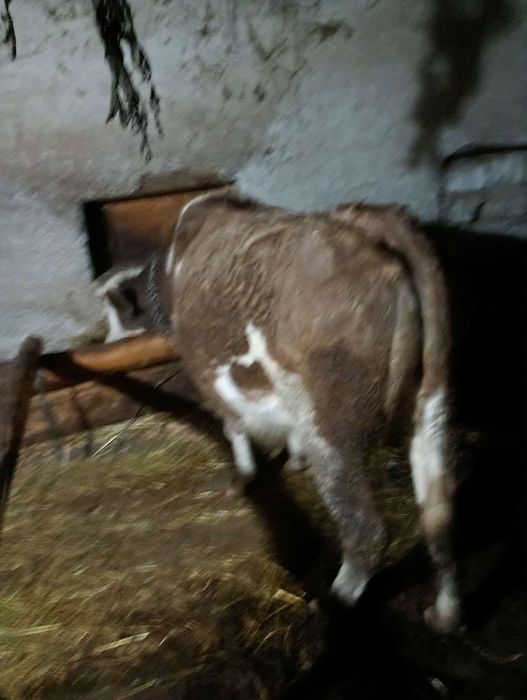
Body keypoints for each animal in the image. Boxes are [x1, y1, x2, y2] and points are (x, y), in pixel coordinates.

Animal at [96, 189, 461, 632]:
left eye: (114, 315)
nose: (106, 344)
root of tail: (374, 223)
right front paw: (294, 457)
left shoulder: (208, 374)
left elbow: (233, 426)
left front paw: (243, 479)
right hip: (432, 398)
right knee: (439, 511)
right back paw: (445, 614)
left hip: (334, 422)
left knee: (366, 530)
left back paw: (331, 607)